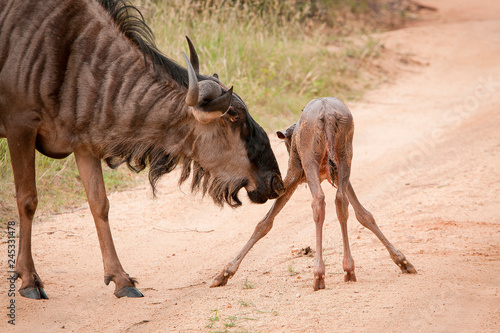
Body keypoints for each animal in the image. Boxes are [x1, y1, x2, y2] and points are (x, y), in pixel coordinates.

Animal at [212, 97, 418, 290]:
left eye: (287, 145)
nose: (291, 154)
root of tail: (327, 114)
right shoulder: (335, 175)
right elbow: (364, 214)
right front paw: (402, 261)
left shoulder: (295, 174)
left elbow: (264, 223)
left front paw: (225, 272)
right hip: (345, 156)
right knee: (341, 201)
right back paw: (348, 269)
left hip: (310, 160)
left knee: (318, 201)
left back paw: (319, 275)